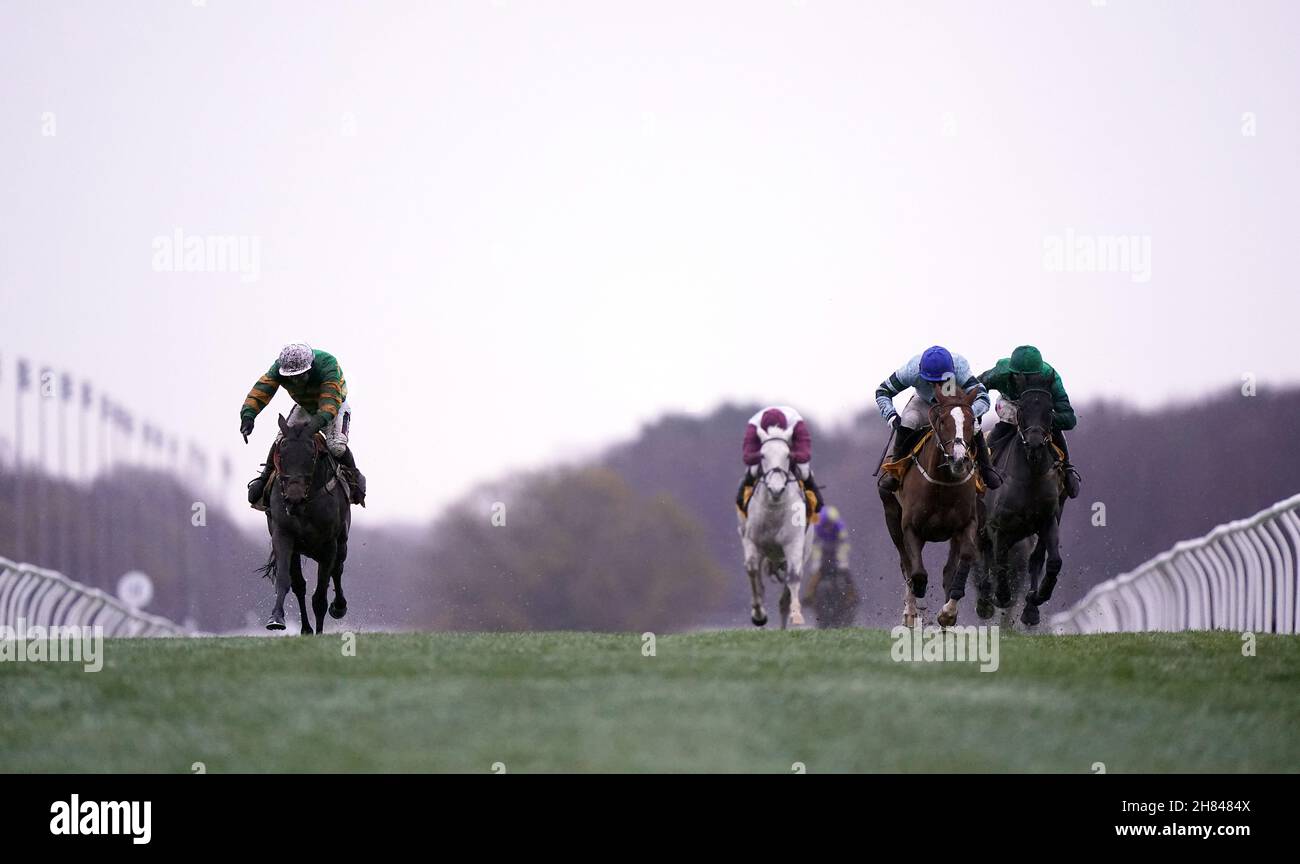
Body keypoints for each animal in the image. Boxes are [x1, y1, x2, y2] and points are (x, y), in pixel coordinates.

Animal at [256, 415, 351, 631]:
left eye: (312, 457)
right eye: (281, 454)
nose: (294, 499)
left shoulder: (329, 544)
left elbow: (321, 596)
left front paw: (320, 630)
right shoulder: (283, 535)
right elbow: (286, 580)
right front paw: (276, 618)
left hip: (341, 542)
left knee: (338, 569)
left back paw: (339, 607)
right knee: (300, 585)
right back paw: (306, 628)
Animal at [878, 384, 977, 626]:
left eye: (972, 421)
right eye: (941, 421)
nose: (959, 459)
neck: (942, 485)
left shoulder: (967, 524)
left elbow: (963, 560)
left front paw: (948, 613)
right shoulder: (910, 527)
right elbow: (917, 572)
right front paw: (914, 604)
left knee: (948, 569)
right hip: (892, 516)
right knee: (905, 563)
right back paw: (910, 611)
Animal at [977, 374, 1066, 623]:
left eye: (1049, 409)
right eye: (1023, 409)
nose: (1035, 444)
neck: (1030, 479)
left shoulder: (1048, 521)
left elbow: (1052, 562)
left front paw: (1037, 598)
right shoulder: (998, 527)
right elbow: (999, 563)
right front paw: (1001, 596)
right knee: (983, 553)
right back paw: (985, 600)